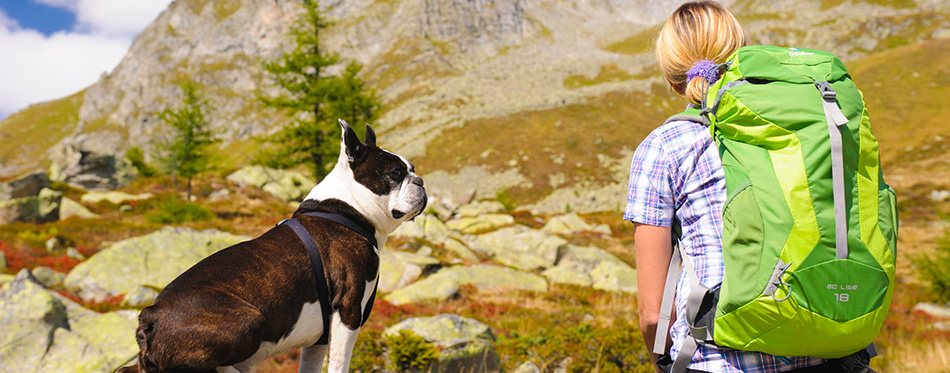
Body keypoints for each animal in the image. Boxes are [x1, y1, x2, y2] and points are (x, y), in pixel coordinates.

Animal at [118, 120, 428, 372]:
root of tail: (151, 317)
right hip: (249, 321)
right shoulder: (348, 310)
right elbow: (339, 363)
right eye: (395, 173)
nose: (421, 181)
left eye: (412, 170)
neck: (348, 208)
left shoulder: (319, 338)